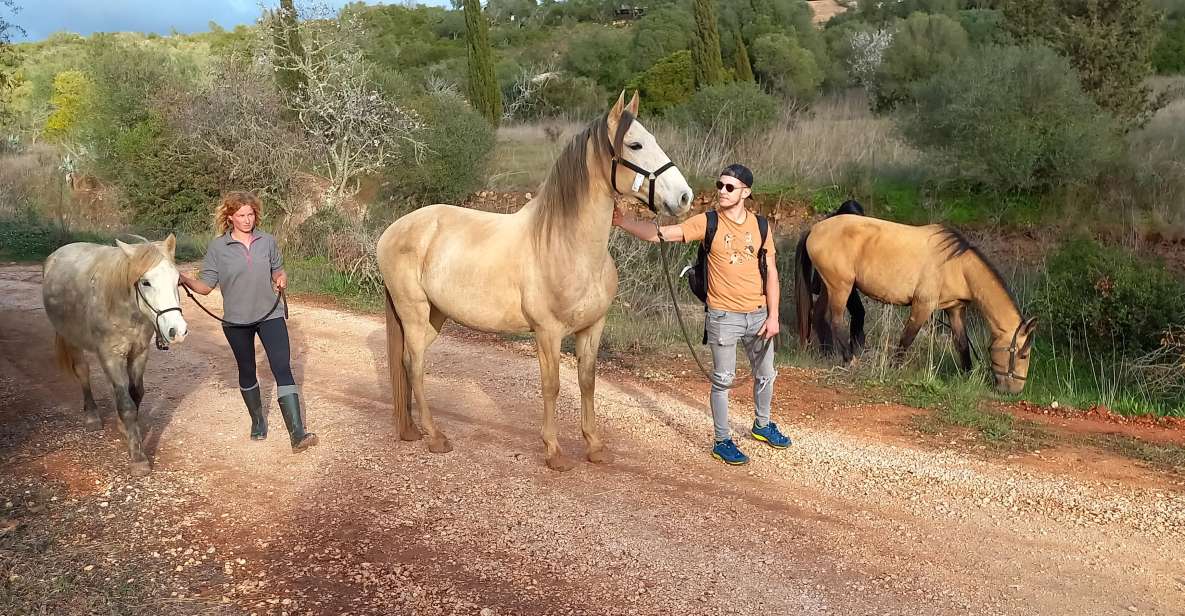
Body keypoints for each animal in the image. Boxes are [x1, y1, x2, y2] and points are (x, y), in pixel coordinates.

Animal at [42, 235, 187, 476]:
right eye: (145, 282)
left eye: (177, 280)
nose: (178, 331)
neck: (124, 308)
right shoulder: (111, 355)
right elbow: (127, 405)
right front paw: (138, 458)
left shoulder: (139, 353)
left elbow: (135, 394)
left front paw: (126, 428)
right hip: (72, 339)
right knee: (83, 372)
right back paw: (92, 416)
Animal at [379, 91, 692, 469]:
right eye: (635, 144)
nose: (684, 197)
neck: (566, 244)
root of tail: (393, 230)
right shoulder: (548, 332)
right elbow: (552, 385)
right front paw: (554, 451)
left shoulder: (593, 328)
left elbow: (586, 382)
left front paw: (594, 446)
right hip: (413, 312)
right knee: (415, 364)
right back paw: (435, 436)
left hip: (435, 316)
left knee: (408, 362)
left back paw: (412, 429)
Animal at [796, 214, 1038, 393]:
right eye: (1023, 355)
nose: (1015, 390)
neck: (957, 265)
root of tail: (814, 229)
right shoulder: (923, 306)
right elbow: (907, 339)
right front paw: (893, 369)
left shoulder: (955, 309)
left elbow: (961, 344)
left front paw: (967, 375)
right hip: (841, 288)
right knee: (835, 320)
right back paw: (849, 359)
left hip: (830, 287)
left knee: (819, 316)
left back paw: (827, 354)